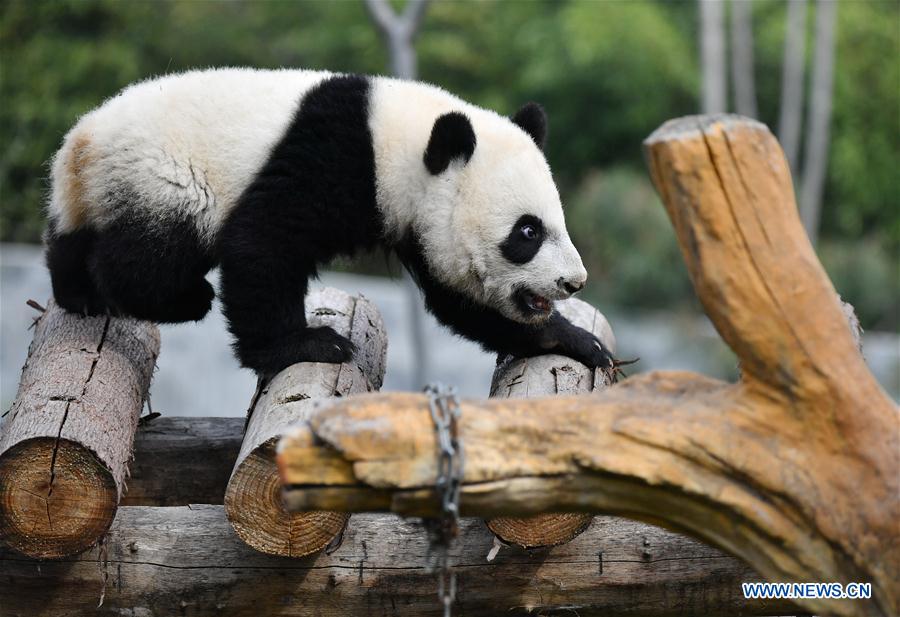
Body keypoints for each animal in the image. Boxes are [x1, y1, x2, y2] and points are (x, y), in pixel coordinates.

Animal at [45, 68, 614, 376]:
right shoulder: (333, 158)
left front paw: (578, 343)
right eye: (528, 232)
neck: (400, 143)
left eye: (556, 223)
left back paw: (79, 292)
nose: (574, 281)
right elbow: (261, 243)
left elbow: (460, 300)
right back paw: (179, 298)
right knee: (147, 257)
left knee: (73, 241)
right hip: (166, 175)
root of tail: (82, 142)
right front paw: (308, 345)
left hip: (97, 188)